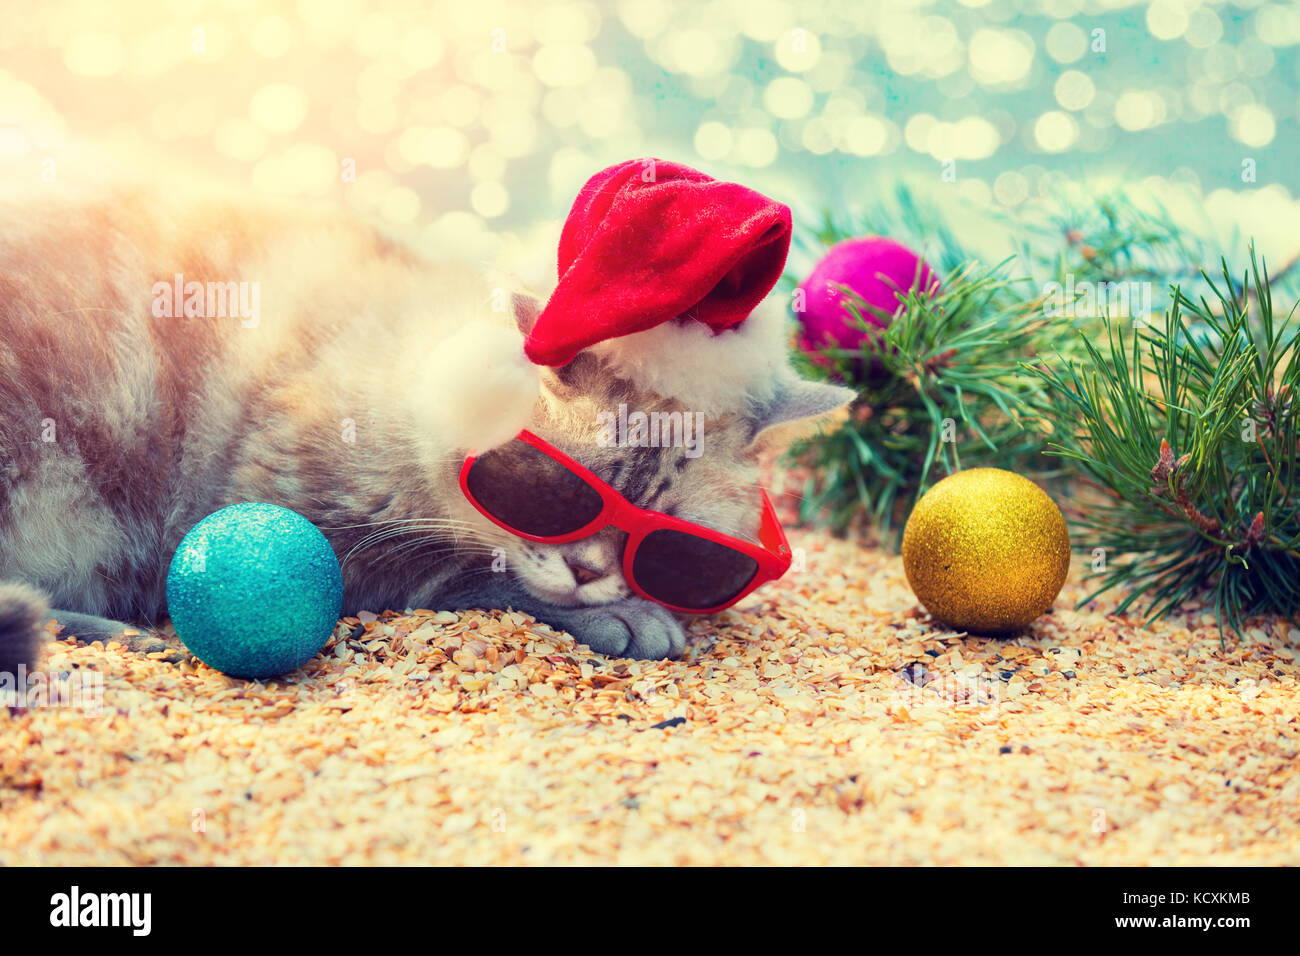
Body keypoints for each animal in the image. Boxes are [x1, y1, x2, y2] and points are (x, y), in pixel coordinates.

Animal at [2, 179, 852, 671]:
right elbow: (475, 576)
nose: (588, 571)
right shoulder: (310, 524)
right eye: (550, 492)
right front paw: (623, 617)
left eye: (670, 535)